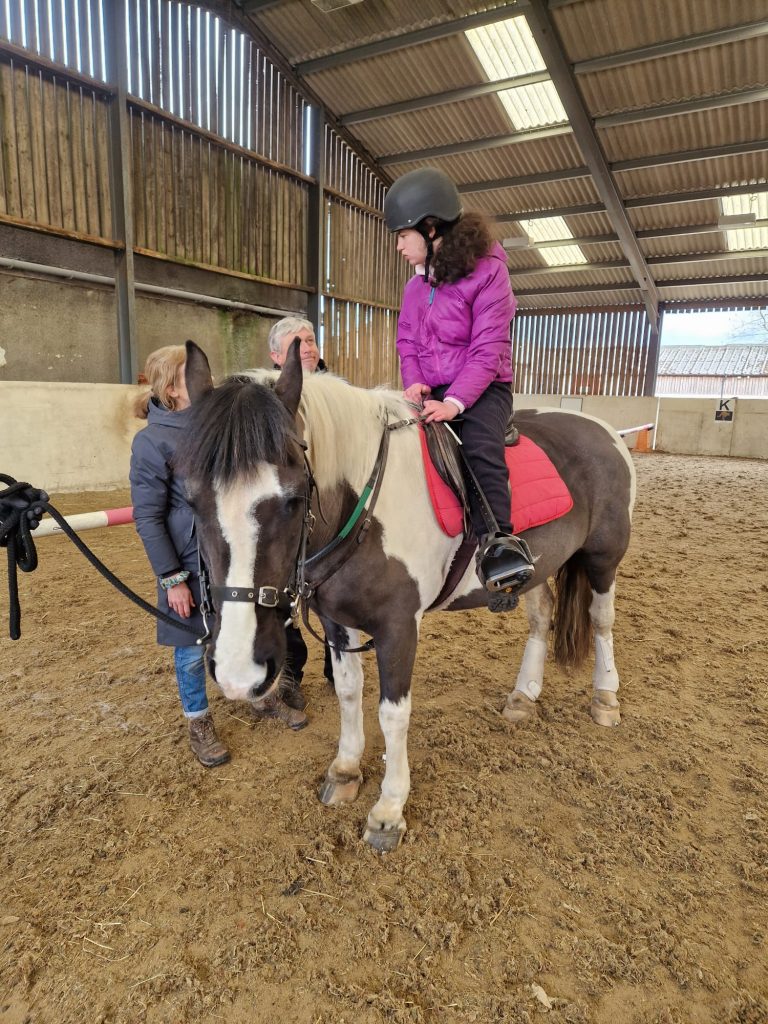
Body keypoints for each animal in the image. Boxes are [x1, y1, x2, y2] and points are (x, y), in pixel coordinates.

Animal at [176, 340, 635, 851]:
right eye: (191, 500)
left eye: (293, 499)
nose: (239, 673)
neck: (361, 503)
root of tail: (602, 430)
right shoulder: (337, 619)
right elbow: (349, 693)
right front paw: (345, 770)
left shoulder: (399, 626)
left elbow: (392, 713)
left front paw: (389, 810)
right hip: (541, 565)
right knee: (542, 617)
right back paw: (523, 696)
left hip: (603, 559)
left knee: (602, 621)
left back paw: (605, 698)